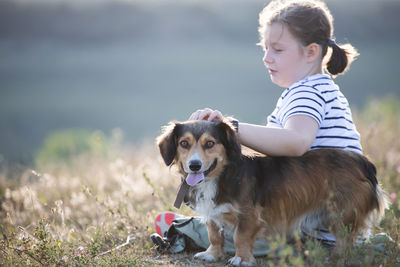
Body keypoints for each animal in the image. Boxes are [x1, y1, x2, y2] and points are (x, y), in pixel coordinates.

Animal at [156, 120, 388, 266]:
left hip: (341, 214)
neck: (222, 175)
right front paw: (212, 254)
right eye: (184, 144)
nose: (194, 166)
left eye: (210, 143)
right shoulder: (212, 214)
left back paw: (335, 258)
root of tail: (363, 162)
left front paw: (242, 259)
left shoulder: (249, 215)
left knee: (345, 241)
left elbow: (240, 237)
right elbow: (214, 235)